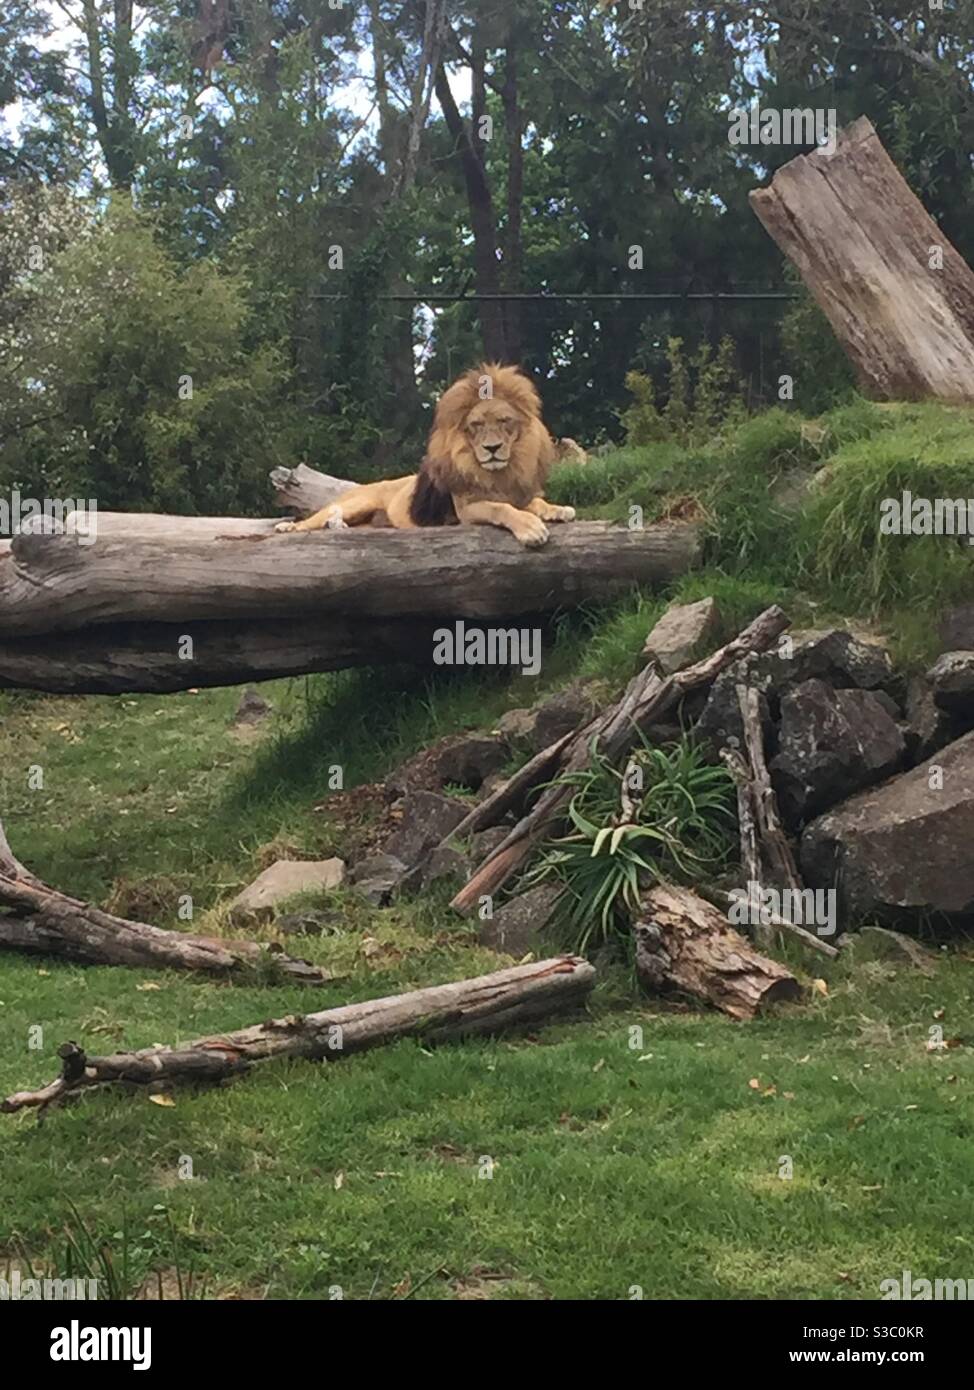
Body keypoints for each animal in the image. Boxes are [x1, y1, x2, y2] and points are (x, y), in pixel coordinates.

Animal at [274, 363, 576, 547]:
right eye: (477, 426)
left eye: (504, 421)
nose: (492, 449)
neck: (499, 473)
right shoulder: (466, 510)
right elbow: (501, 508)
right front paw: (531, 529)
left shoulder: (520, 493)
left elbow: (535, 502)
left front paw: (558, 510)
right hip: (355, 503)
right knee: (310, 521)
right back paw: (287, 529)